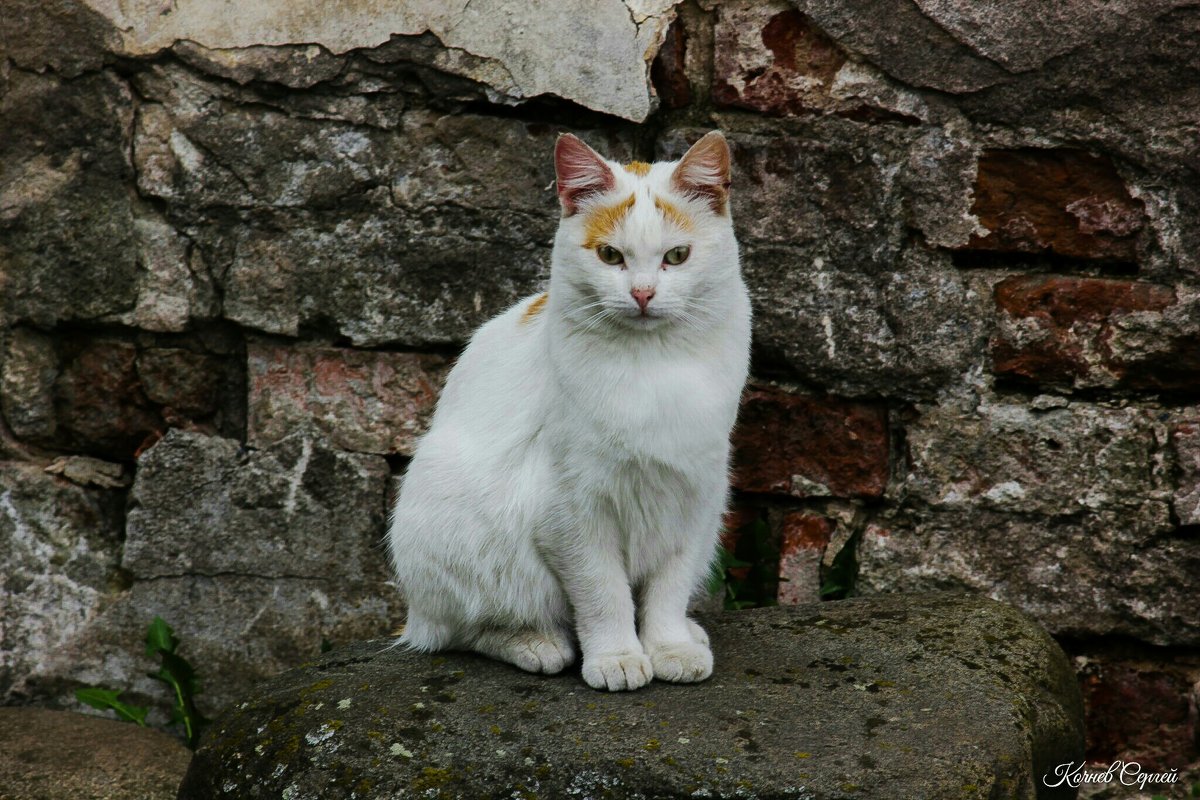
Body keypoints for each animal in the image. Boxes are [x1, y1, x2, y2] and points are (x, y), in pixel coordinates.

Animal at [388, 130, 748, 690]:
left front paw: (669, 646)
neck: (654, 364)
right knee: (464, 629)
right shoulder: (571, 513)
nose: (642, 293)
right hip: (459, 529)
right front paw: (617, 657)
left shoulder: (693, 498)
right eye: (609, 255)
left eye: (678, 255)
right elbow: (602, 593)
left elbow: (668, 588)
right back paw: (536, 643)